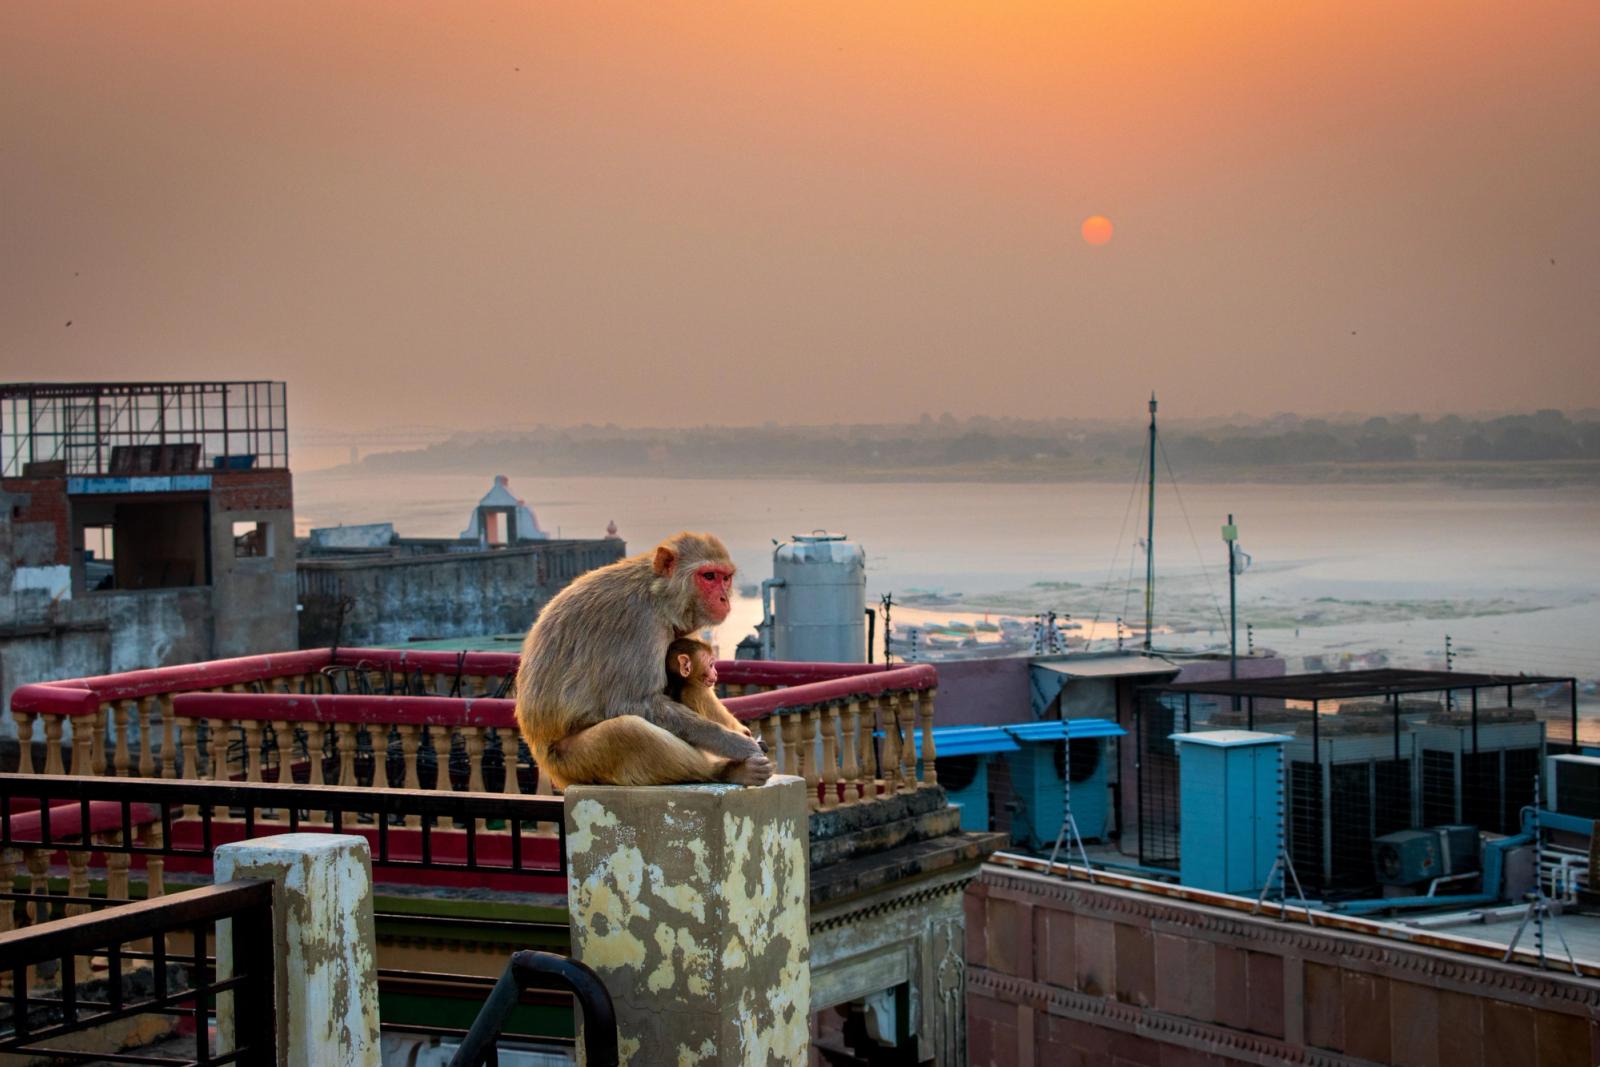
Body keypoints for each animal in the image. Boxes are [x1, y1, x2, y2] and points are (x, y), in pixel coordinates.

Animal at [515, 531, 773, 789]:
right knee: (627, 731)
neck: (657, 593)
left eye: (725, 578)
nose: (723, 599)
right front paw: (738, 743)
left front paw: (742, 732)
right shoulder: (638, 623)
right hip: (569, 762)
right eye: (708, 576)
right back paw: (727, 771)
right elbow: (631, 702)